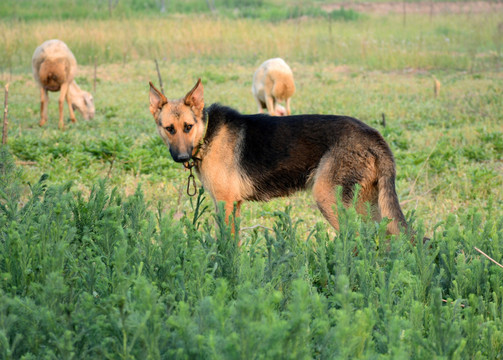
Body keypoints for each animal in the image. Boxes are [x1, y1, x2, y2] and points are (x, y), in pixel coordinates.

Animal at [150, 79, 410, 236]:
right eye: (169, 129)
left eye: (188, 127)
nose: (181, 156)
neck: (206, 134)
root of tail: (373, 136)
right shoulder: (235, 205)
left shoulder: (225, 204)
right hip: (369, 206)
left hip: (329, 199)